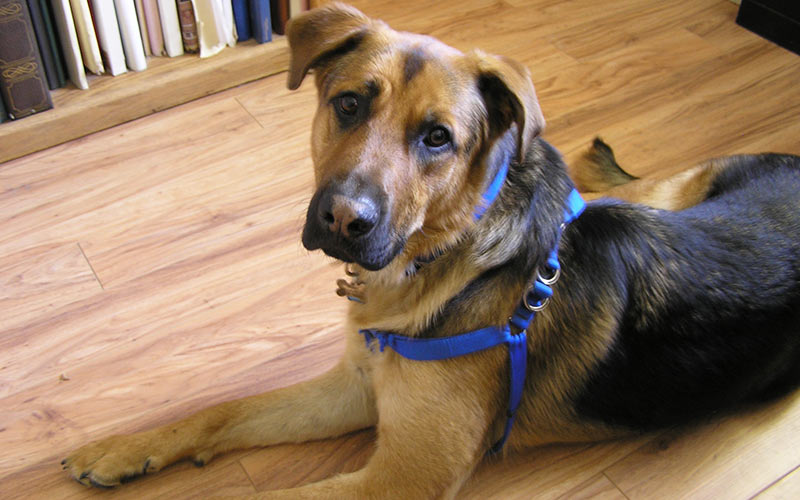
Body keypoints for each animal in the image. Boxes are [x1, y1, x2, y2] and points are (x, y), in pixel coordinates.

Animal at [64, 2, 800, 496]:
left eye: (438, 138)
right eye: (350, 104)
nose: (343, 219)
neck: (448, 258)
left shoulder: (399, 477)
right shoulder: (356, 388)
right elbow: (225, 411)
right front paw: (126, 448)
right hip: (673, 190)